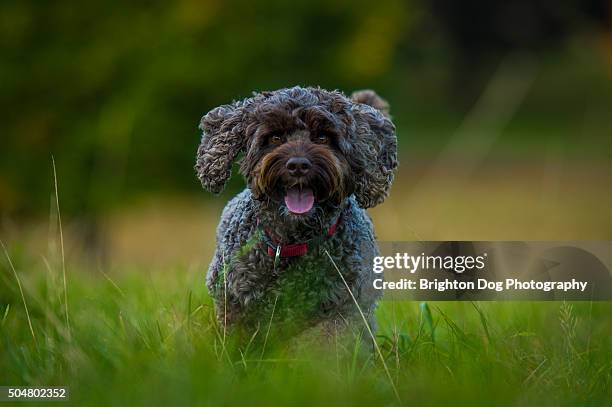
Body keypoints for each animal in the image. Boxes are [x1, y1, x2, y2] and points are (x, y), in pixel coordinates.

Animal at [194, 87, 400, 338]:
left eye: (323, 137)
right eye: (275, 137)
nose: (298, 165)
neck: (293, 242)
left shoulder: (344, 308)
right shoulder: (234, 303)